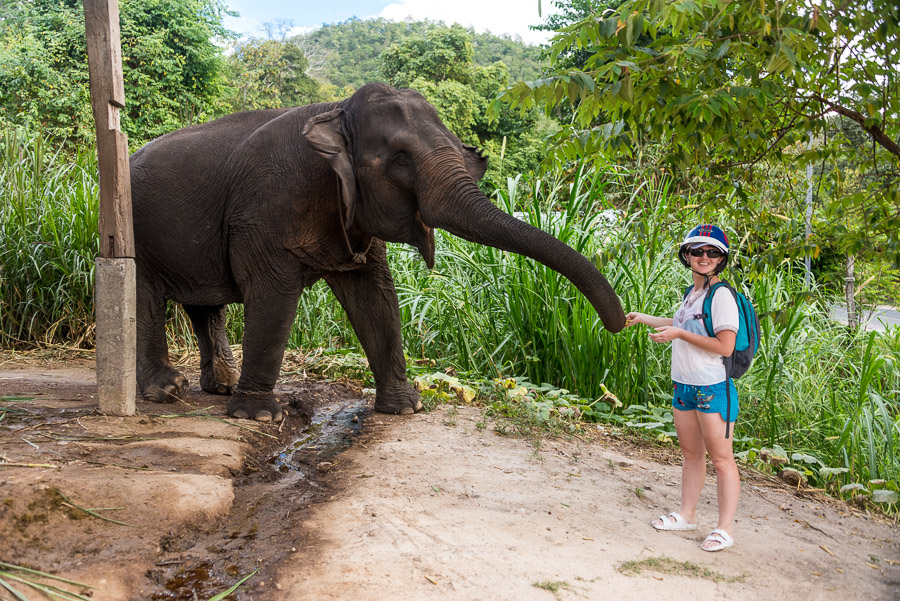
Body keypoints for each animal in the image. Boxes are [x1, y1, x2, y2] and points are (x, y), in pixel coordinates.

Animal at [132, 81, 624, 422]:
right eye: (401, 159)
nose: (619, 326)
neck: (334, 112)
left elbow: (376, 296)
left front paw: (406, 409)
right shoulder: (263, 211)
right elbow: (273, 297)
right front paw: (258, 416)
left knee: (205, 307)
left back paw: (219, 386)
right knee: (147, 297)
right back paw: (167, 391)